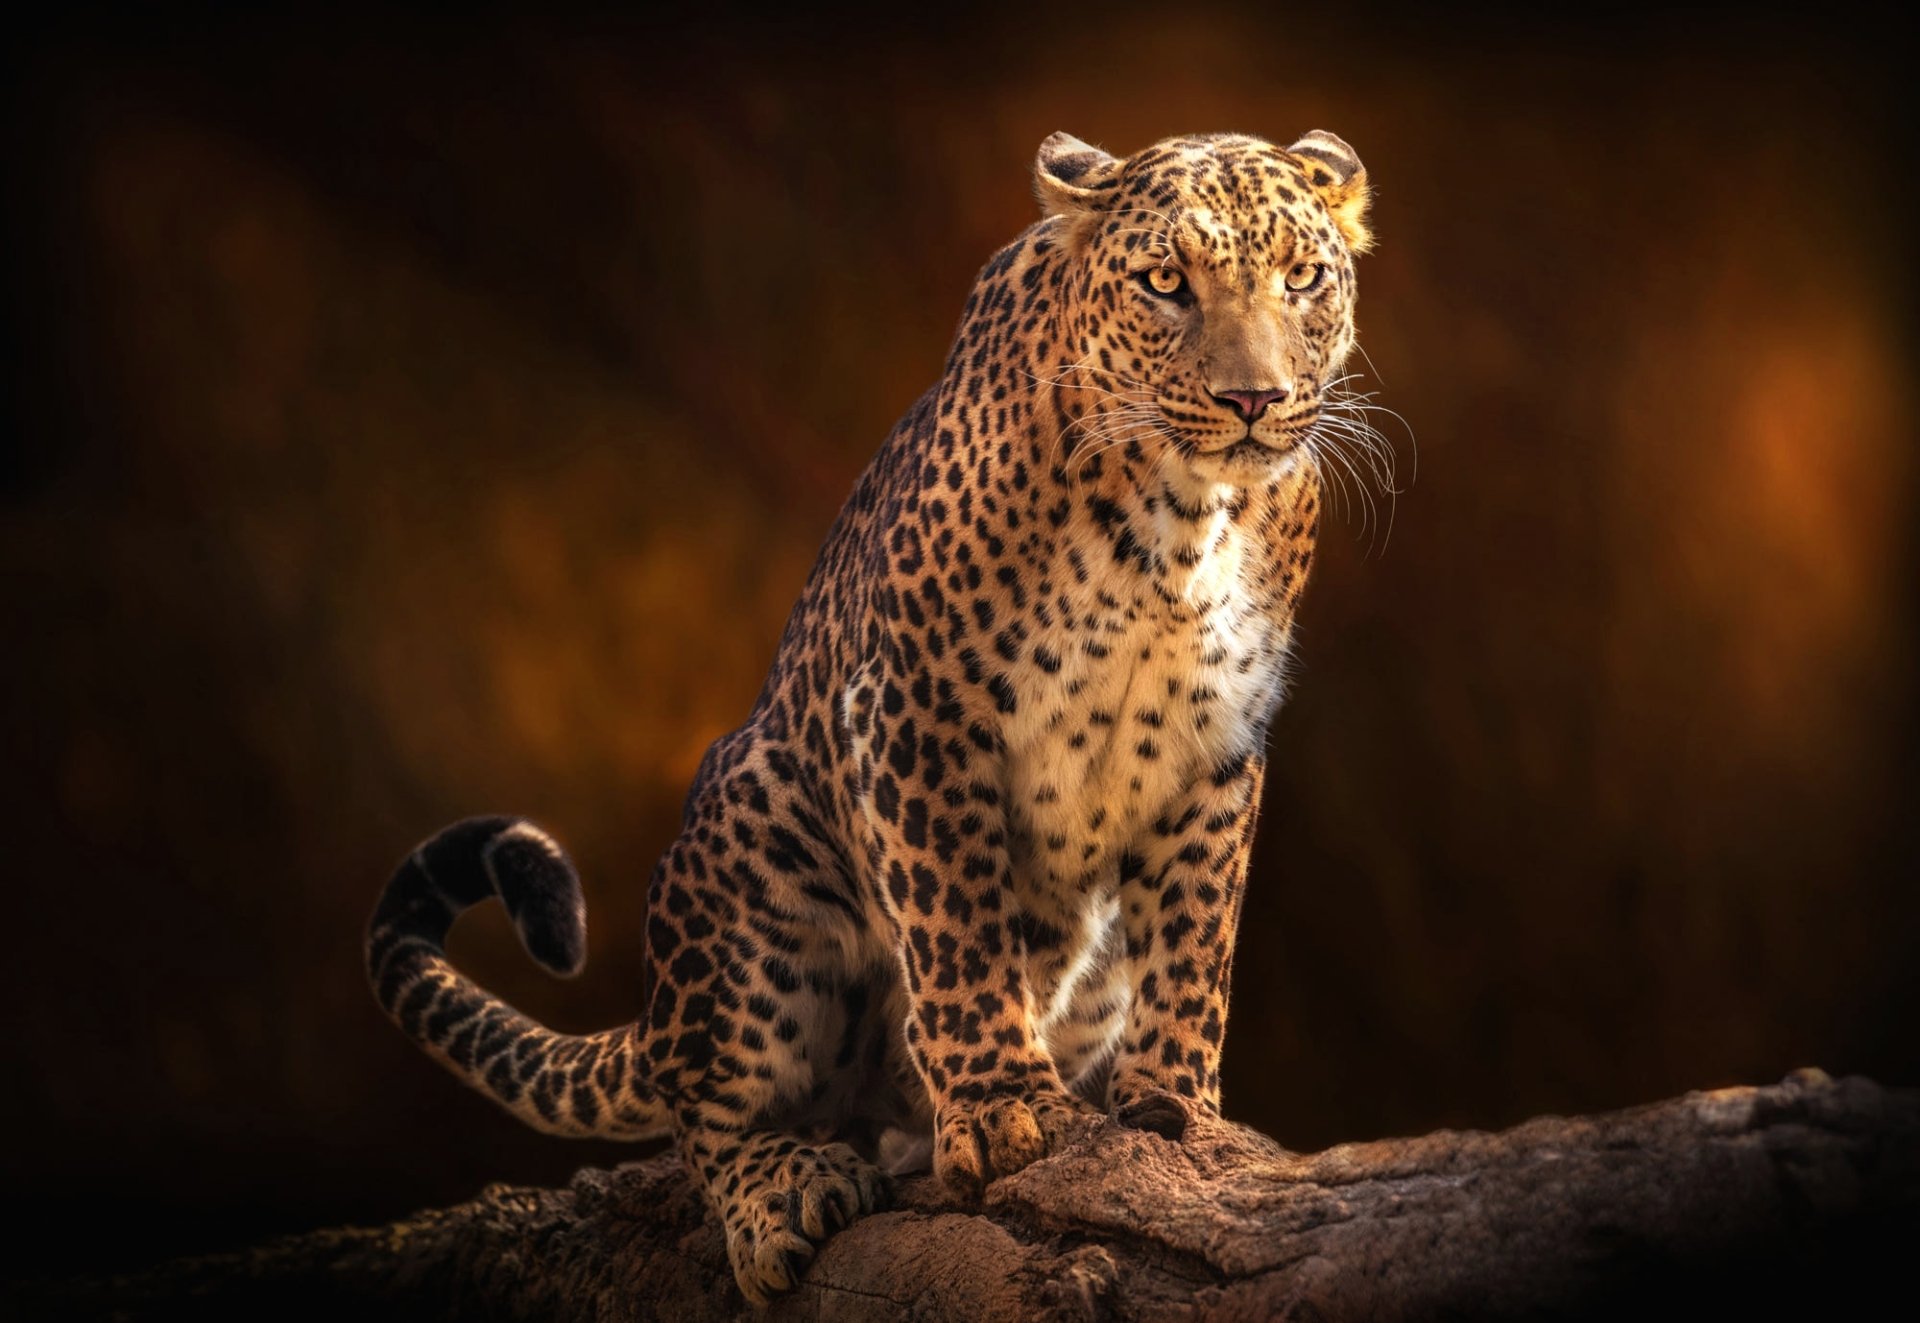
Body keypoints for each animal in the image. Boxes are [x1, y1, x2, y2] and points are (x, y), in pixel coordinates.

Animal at [366, 128, 1376, 1304]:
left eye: (1301, 280)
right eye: (1167, 283)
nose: (1256, 398)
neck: (1181, 520)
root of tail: (655, 1018)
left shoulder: (1217, 746)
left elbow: (1195, 935)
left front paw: (1175, 1109)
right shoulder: (912, 703)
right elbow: (957, 926)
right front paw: (1006, 1108)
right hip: (755, 831)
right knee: (711, 1108)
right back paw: (785, 1190)